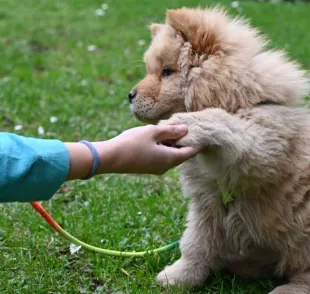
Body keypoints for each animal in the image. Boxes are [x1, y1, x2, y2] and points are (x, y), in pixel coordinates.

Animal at [128, 6, 310, 294]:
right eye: (150, 70)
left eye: (166, 72)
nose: (130, 95)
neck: (240, 100)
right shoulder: (207, 202)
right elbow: (195, 244)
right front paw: (178, 277)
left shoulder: (263, 146)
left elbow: (219, 119)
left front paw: (186, 122)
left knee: (305, 272)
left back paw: (288, 289)